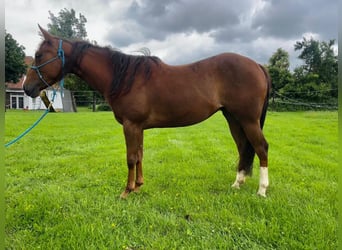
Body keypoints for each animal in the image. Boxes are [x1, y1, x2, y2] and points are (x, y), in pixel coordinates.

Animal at [22, 24, 272, 197]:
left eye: (39, 55)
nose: (27, 88)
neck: (124, 78)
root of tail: (257, 65)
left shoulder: (131, 125)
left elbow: (131, 157)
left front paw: (127, 190)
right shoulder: (139, 127)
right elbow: (140, 155)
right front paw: (139, 186)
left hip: (248, 119)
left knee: (261, 147)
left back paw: (261, 190)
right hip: (234, 119)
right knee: (243, 148)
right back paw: (237, 183)